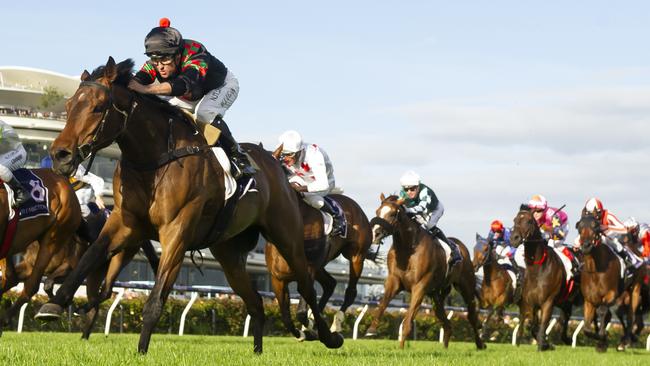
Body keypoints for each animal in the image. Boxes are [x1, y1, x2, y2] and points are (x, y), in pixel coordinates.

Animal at [33, 58, 342, 354]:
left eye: (98, 108)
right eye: (69, 105)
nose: (60, 155)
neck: (153, 159)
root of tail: (275, 164)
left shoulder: (176, 232)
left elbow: (155, 299)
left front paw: (141, 352)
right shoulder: (125, 222)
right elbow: (89, 257)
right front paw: (53, 305)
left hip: (286, 236)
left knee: (306, 286)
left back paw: (327, 336)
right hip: (228, 252)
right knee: (255, 302)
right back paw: (257, 351)